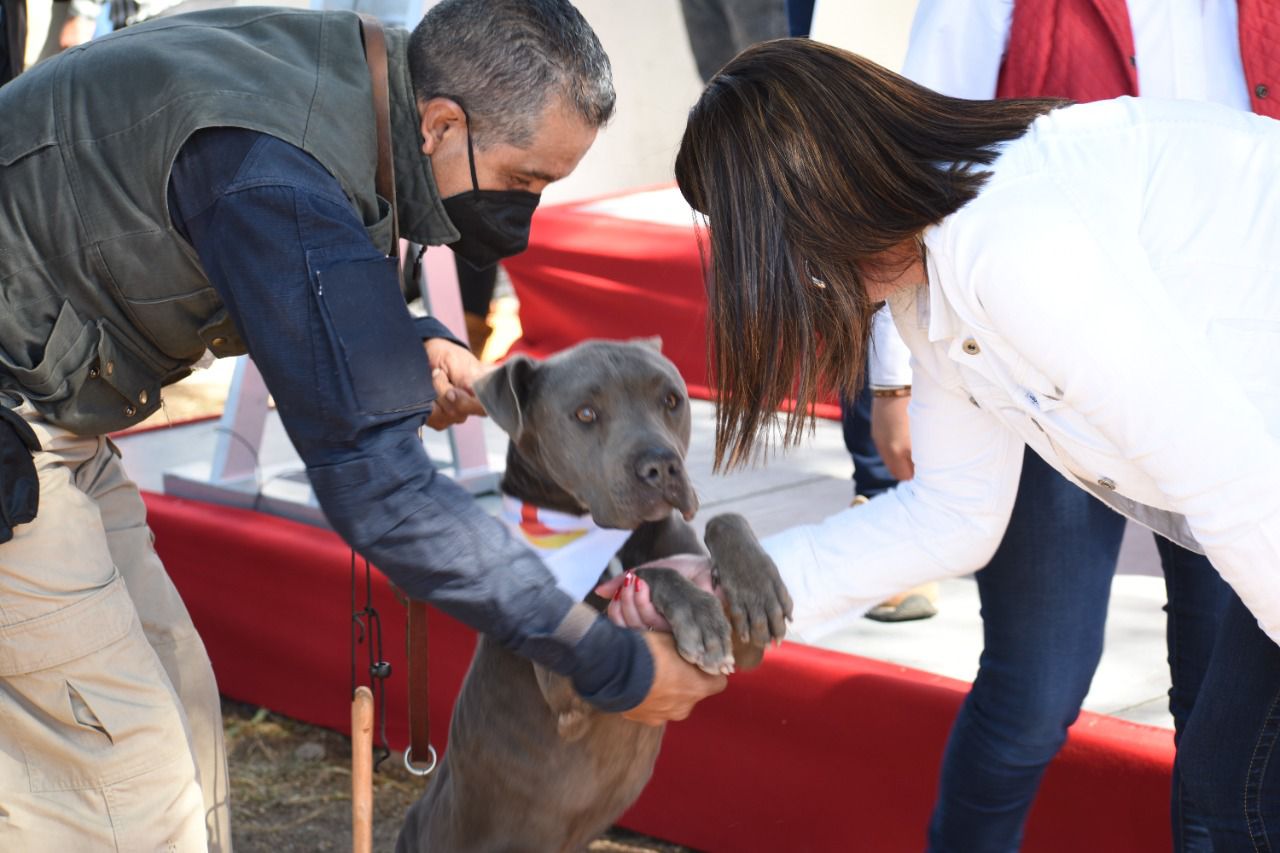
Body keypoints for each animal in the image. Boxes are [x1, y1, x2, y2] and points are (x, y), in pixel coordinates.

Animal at [394, 335, 788, 845]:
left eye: (672, 400)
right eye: (584, 413)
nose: (661, 465)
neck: (606, 534)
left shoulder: (744, 651)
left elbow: (725, 520)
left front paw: (758, 586)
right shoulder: (567, 685)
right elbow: (642, 578)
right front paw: (697, 613)